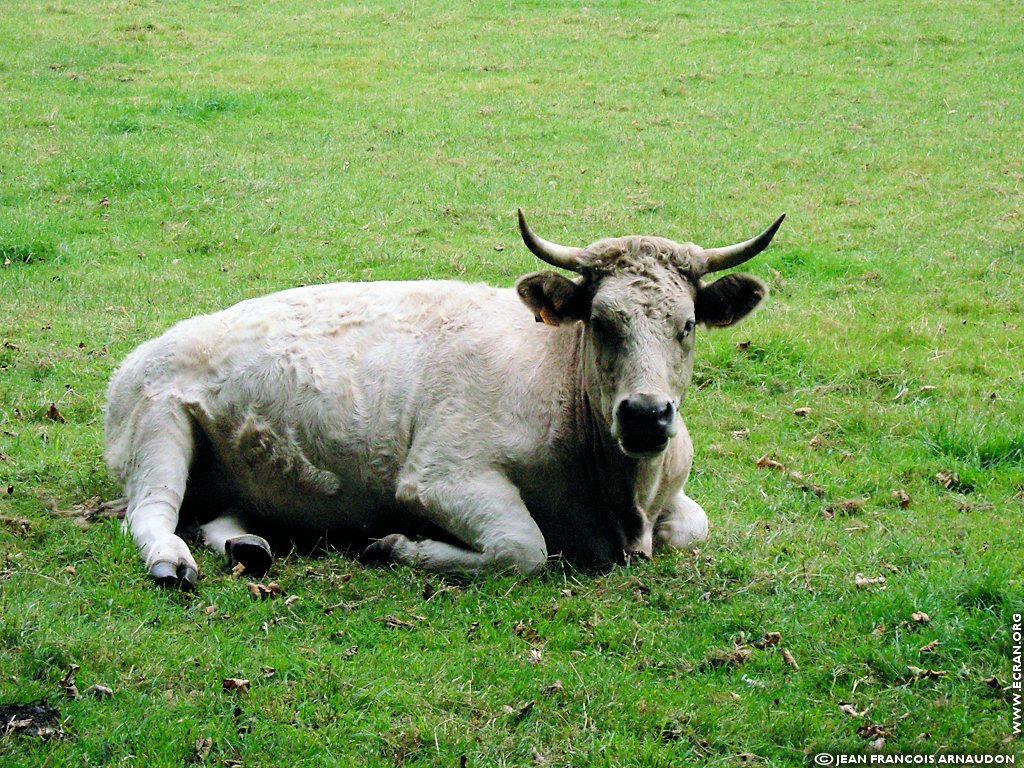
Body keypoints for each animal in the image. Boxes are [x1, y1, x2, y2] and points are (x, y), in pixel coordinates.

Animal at [105, 210, 782, 589]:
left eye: (687, 325)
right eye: (600, 322)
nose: (645, 415)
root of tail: (136, 357)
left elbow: (694, 525)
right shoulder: (441, 477)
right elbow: (522, 548)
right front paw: (395, 546)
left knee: (216, 516)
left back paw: (249, 547)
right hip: (159, 428)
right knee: (153, 513)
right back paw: (170, 562)